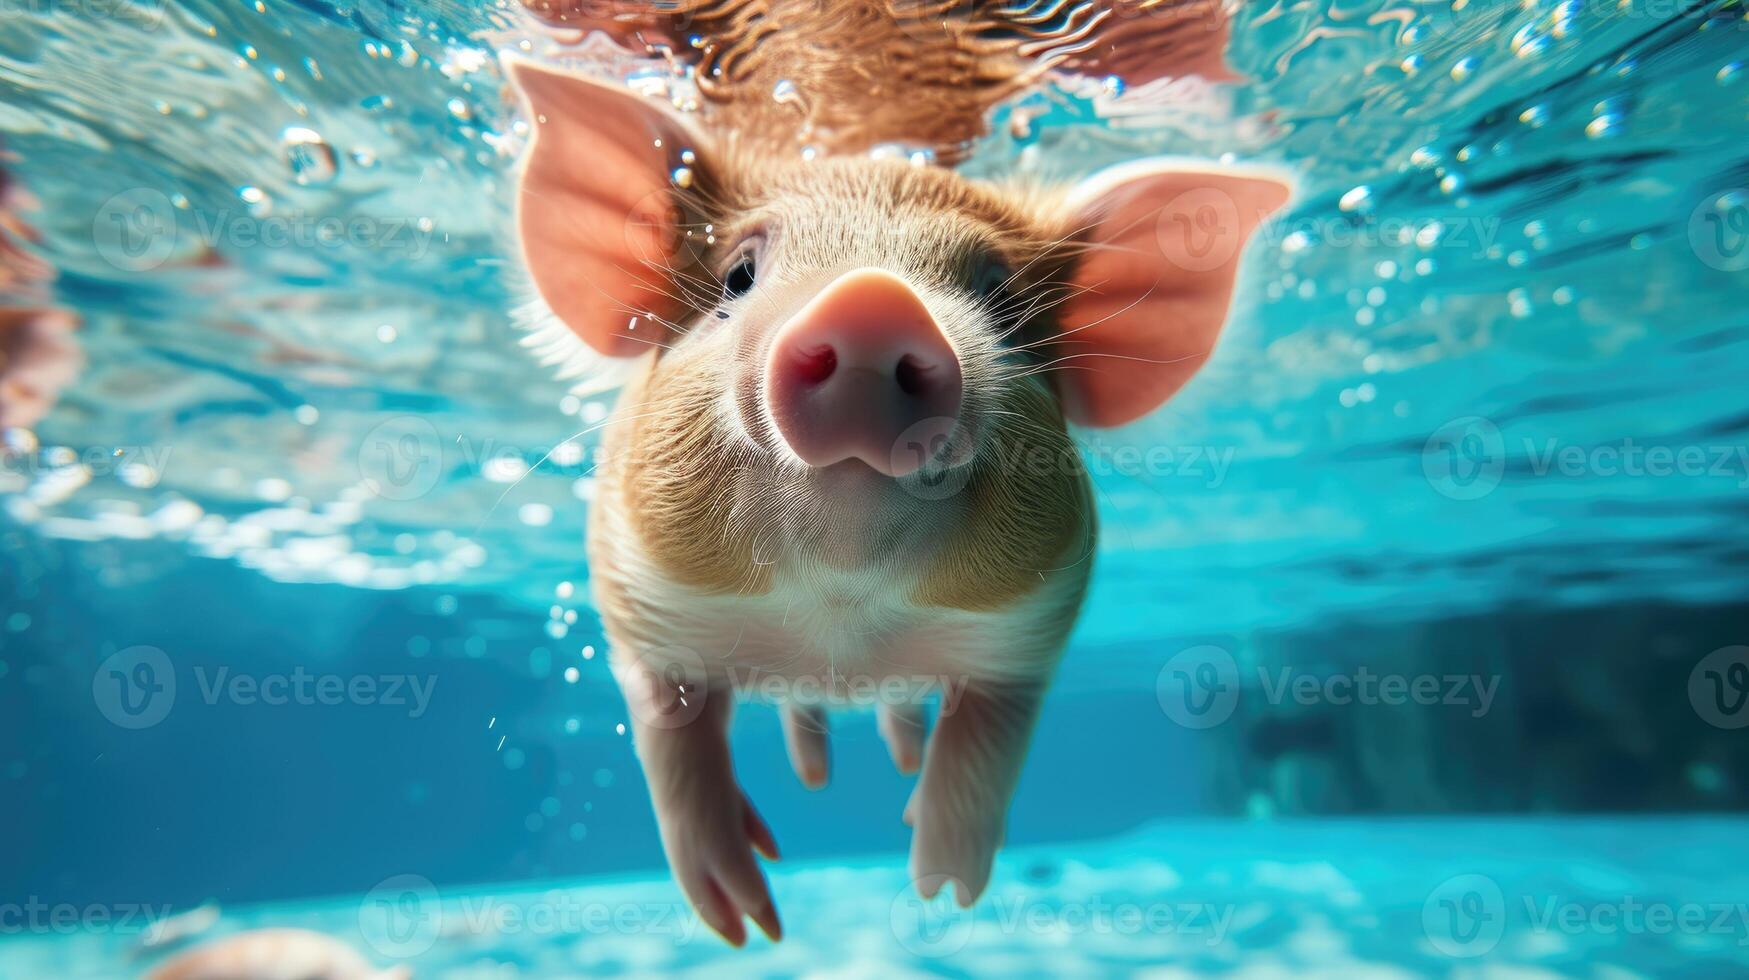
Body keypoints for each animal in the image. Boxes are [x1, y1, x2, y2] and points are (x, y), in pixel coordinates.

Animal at [500, 1, 1294, 952]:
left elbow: (988, 742)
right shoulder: (637, 601)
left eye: (999, 298)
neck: (838, 618)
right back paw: (810, 786)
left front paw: (939, 893)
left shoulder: (1033, 629)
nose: (872, 301)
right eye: (737, 274)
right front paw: (746, 925)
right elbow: (673, 741)